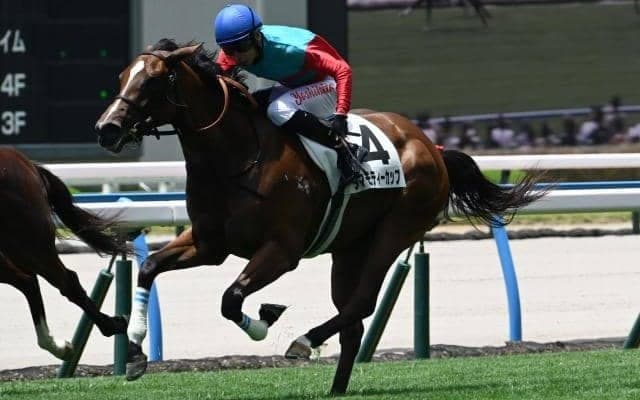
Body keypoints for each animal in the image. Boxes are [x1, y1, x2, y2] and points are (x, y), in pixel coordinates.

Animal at [95, 39, 545, 394]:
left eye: (153, 80)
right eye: (121, 76)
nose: (107, 128)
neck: (237, 156)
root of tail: (430, 146)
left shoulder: (282, 250)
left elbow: (231, 298)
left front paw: (265, 319)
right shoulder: (209, 244)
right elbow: (149, 267)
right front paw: (134, 352)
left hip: (397, 229)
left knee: (362, 303)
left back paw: (305, 342)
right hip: (347, 249)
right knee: (353, 322)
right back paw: (335, 388)